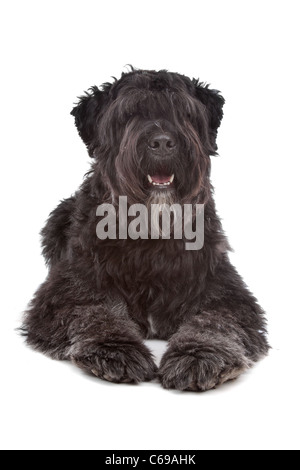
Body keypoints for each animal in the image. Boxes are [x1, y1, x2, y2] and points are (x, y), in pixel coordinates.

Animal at [21, 68, 270, 392]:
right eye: (129, 114)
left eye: (183, 111)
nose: (163, 142)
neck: (151, 232)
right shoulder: (67, 290)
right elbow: (95, 312)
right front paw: (116, 350)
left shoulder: (224, 290)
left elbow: (214, 321)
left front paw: (198, 356)